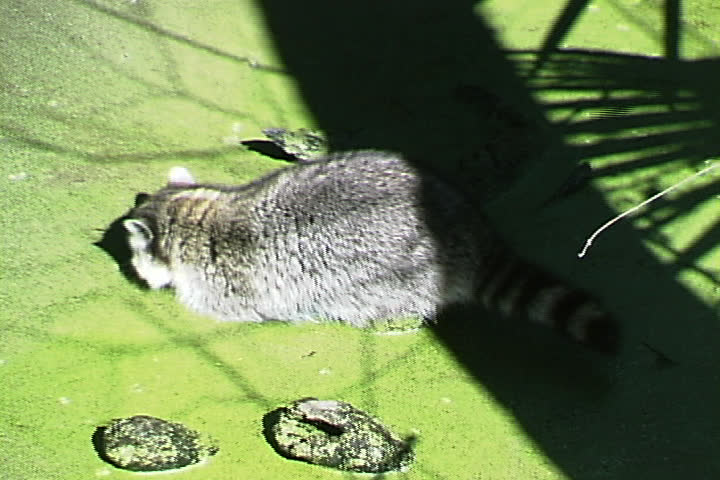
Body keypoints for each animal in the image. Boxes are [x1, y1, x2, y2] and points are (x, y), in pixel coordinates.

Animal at [122, 151, 618, 353]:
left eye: (132, 258)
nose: (134, 276)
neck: (197, 218)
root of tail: (472, 233)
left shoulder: (225, 285)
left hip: (404, 274)